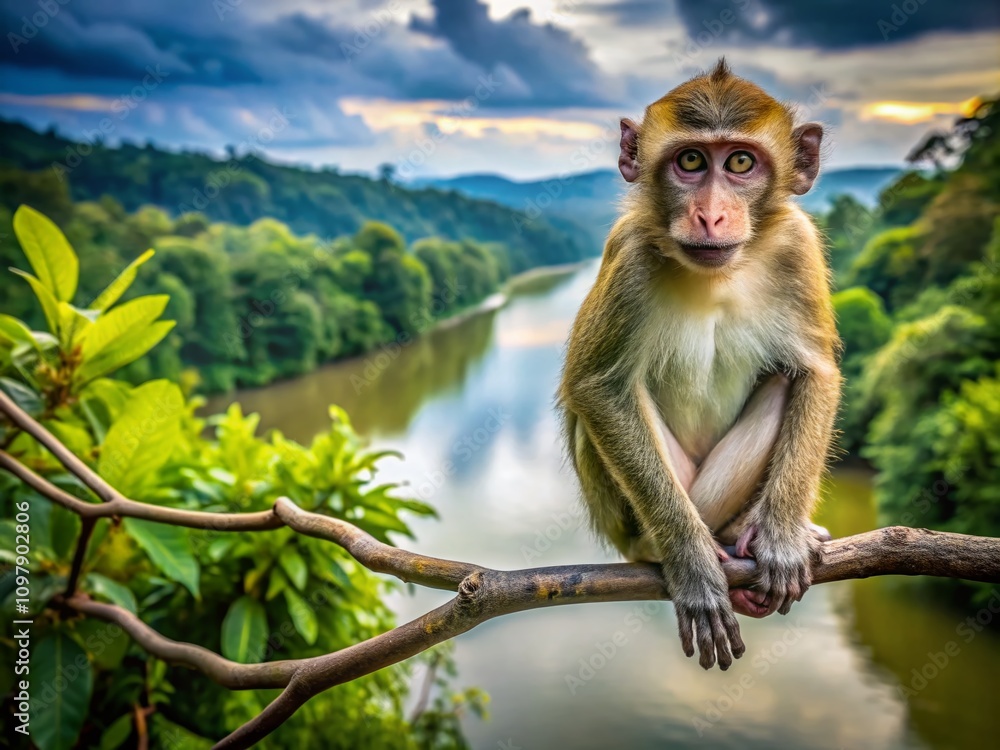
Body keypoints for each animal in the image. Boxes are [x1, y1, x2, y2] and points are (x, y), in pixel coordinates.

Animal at [558, 59, 840, 671]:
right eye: (690, 161)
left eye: (740, 163)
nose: (710, 214)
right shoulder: (630, 254)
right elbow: (597, 387)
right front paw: (689, 564)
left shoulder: (797, 244)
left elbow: (814, 371)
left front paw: (783, 537)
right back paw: (678, 545)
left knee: (783, 380)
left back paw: (747, 529)